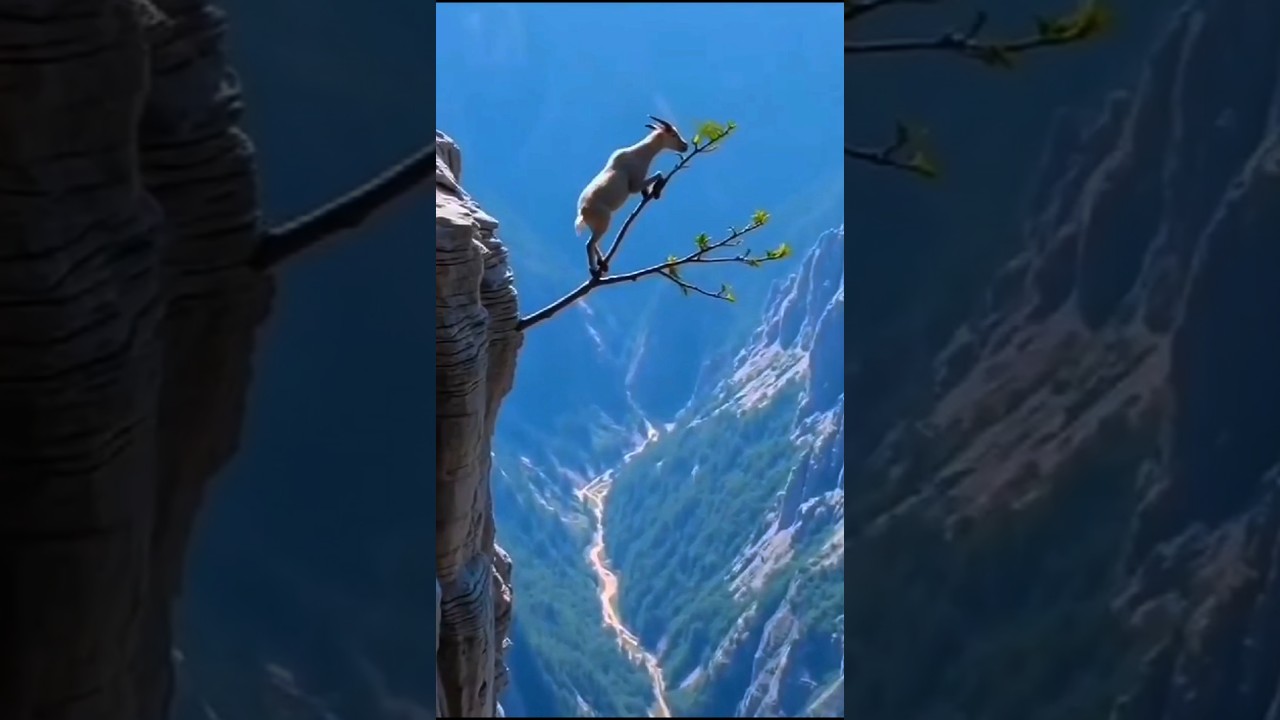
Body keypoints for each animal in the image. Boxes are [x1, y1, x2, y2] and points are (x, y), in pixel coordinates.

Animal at [575, 115, 690, 277]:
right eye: (673, 134)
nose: (685, 146)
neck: (640, 152)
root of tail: (582, 212)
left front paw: (647, 193)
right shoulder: (634, 184)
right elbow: (659, 174)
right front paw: (656, 191)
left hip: (595, 224)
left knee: (594, 242)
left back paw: (602, 264)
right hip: (603, 220)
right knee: (589, 243)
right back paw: (593, 270)